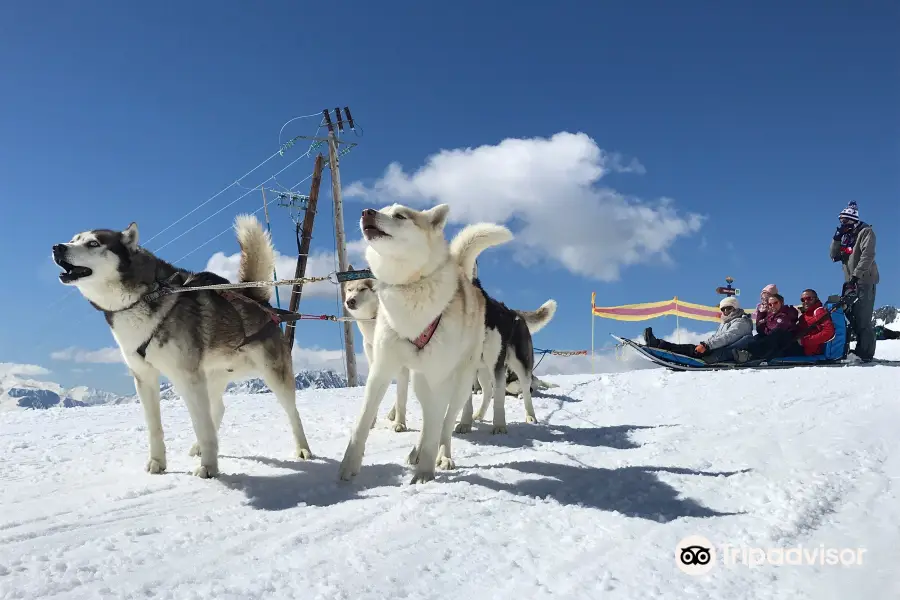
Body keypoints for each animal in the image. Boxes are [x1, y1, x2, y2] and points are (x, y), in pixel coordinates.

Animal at [52, 216, 314, 478]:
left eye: (93, 243)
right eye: (74, 239)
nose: (57, 247)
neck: (143, 297)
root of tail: (256, 299)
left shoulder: (187, 377)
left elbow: (201, 425)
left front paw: (209, 467)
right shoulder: (145, 377)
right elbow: (155, 427)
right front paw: (158, 462)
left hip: (273, 374)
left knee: (292, 412)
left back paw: (303, 449)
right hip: (212, 376)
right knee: (217, 409)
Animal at [342, 270, 412, 432]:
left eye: (362, 289)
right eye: (349, 289)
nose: (350, 301)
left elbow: (401, 396)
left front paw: (400, 423)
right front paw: (371, 421)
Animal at [458, 278, 556, 434]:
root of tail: (515, 312)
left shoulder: (498, 366)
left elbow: (499, 398)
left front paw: (499, 426)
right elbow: (467, 401)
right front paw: (465, 424)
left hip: (520, 366)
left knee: (526, 390)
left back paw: (530, 416)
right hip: (482, 369)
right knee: (488, 391)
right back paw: (479, 414)